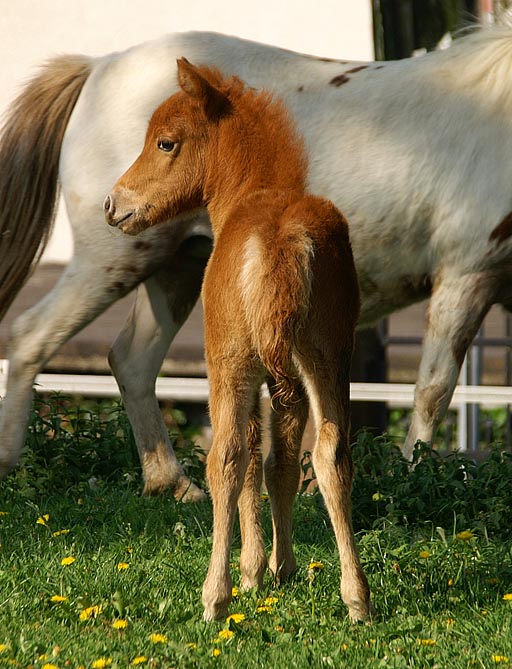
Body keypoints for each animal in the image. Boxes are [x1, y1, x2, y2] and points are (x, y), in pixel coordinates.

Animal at [1, 28, 512, 498]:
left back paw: (172, 483)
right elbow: (432, 390)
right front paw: (408, 479)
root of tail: (99, 66)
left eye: (165, 143)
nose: (114, 203)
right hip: (111, 260)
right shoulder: (467, 274)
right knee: (31, 338)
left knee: (131, 361)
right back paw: (12, 466)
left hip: (176, 270)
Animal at [105, 57, 372, 620]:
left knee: (225, 457)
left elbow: (248, 458)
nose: (112, 204)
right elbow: (280, 464)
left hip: (229, 361)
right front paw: (281, 568)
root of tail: (284, 240)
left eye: (165, 142)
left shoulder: (245, 367)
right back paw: (357, 599)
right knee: (332, 455)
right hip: (327, 357)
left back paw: (215, 596)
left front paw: (252, 574)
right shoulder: (285, 377)